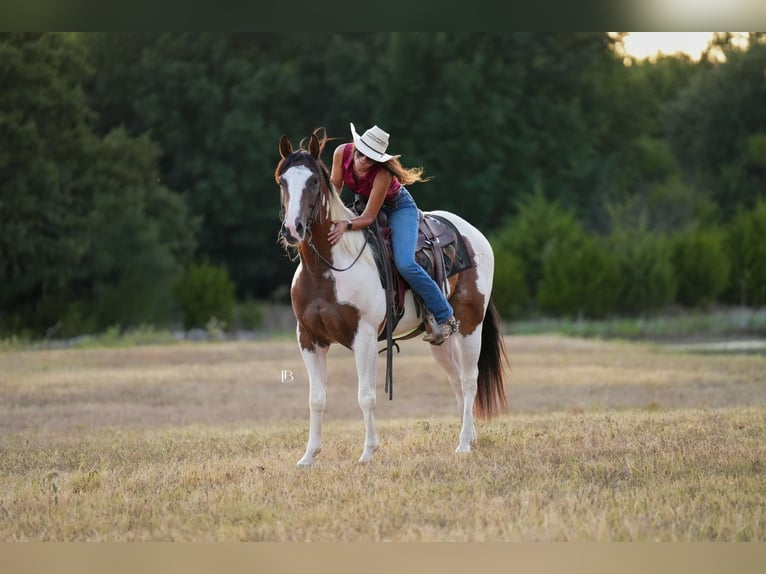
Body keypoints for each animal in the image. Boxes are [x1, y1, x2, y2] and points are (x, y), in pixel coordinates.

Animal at [275, 129, 509, 466]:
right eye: (282, 180)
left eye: (314, 181)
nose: (293, 229)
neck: (326, 269)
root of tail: (472, 233)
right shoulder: (308, 338)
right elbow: (316, 398)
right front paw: (308, 456)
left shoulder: (365, 336)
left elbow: (366, 396)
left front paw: (368, 452)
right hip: (439, 340)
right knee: (455, 379)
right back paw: (471, 437)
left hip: (470, 325)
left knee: (469, 379)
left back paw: (464, 443)